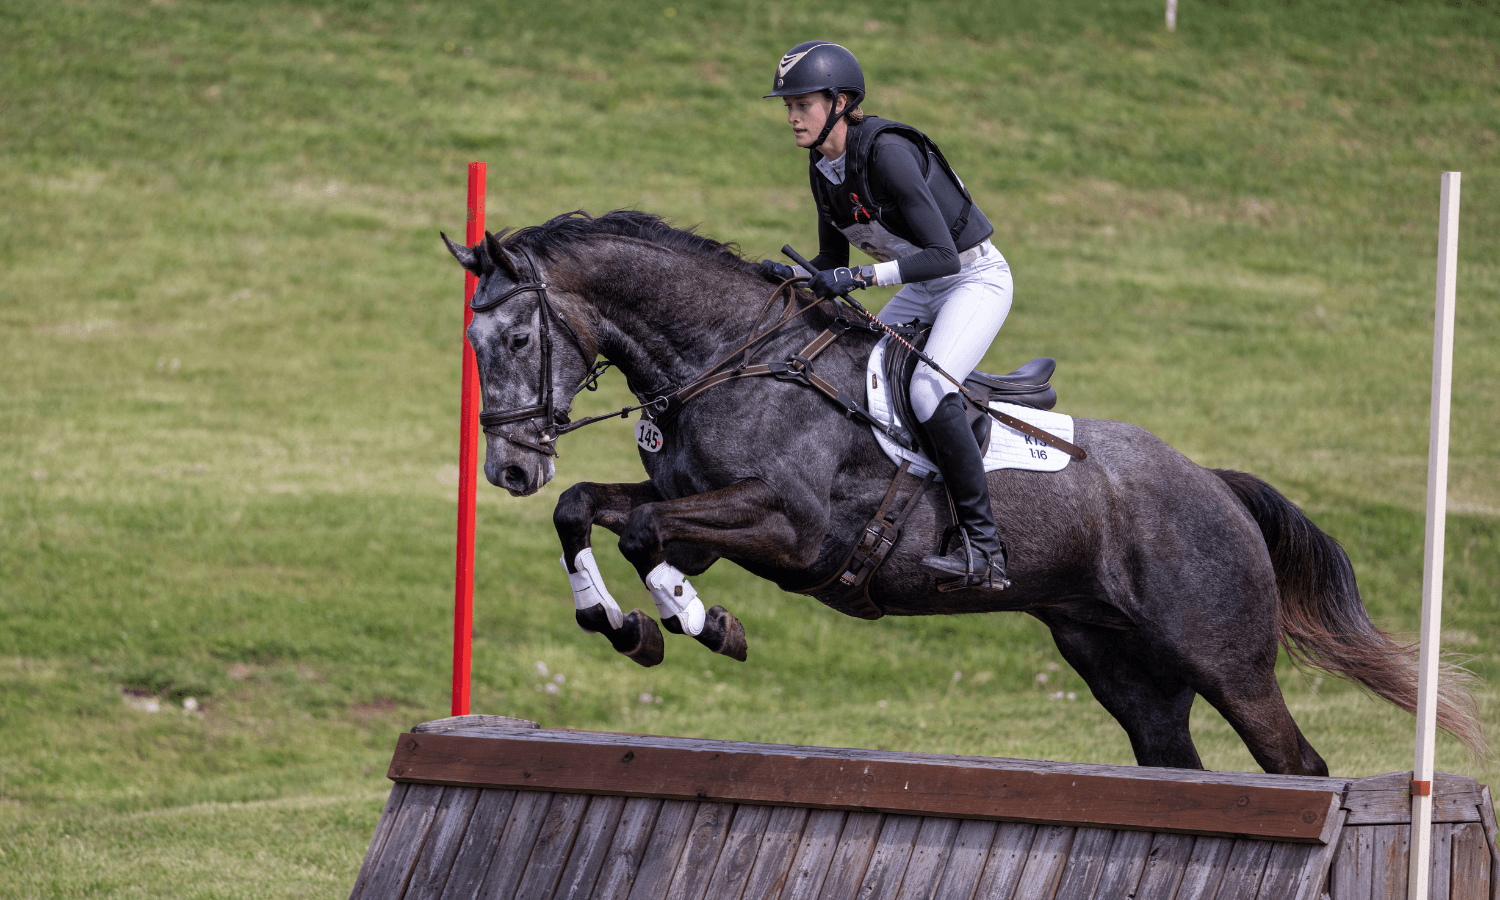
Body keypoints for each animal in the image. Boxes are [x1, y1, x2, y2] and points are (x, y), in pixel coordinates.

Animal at [442, 209, 1483, 776]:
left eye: (520, 339)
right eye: (472, 343)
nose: (509, 470)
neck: (730, 359)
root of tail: (1215, 487)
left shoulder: (788, 529)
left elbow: (647, 531)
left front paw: (705, 626)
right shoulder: (703, 520)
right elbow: (595, 513)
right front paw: (626, 627)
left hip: (1226, 660)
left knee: (1294, 763)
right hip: (1125, 669)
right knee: (1176, 761)